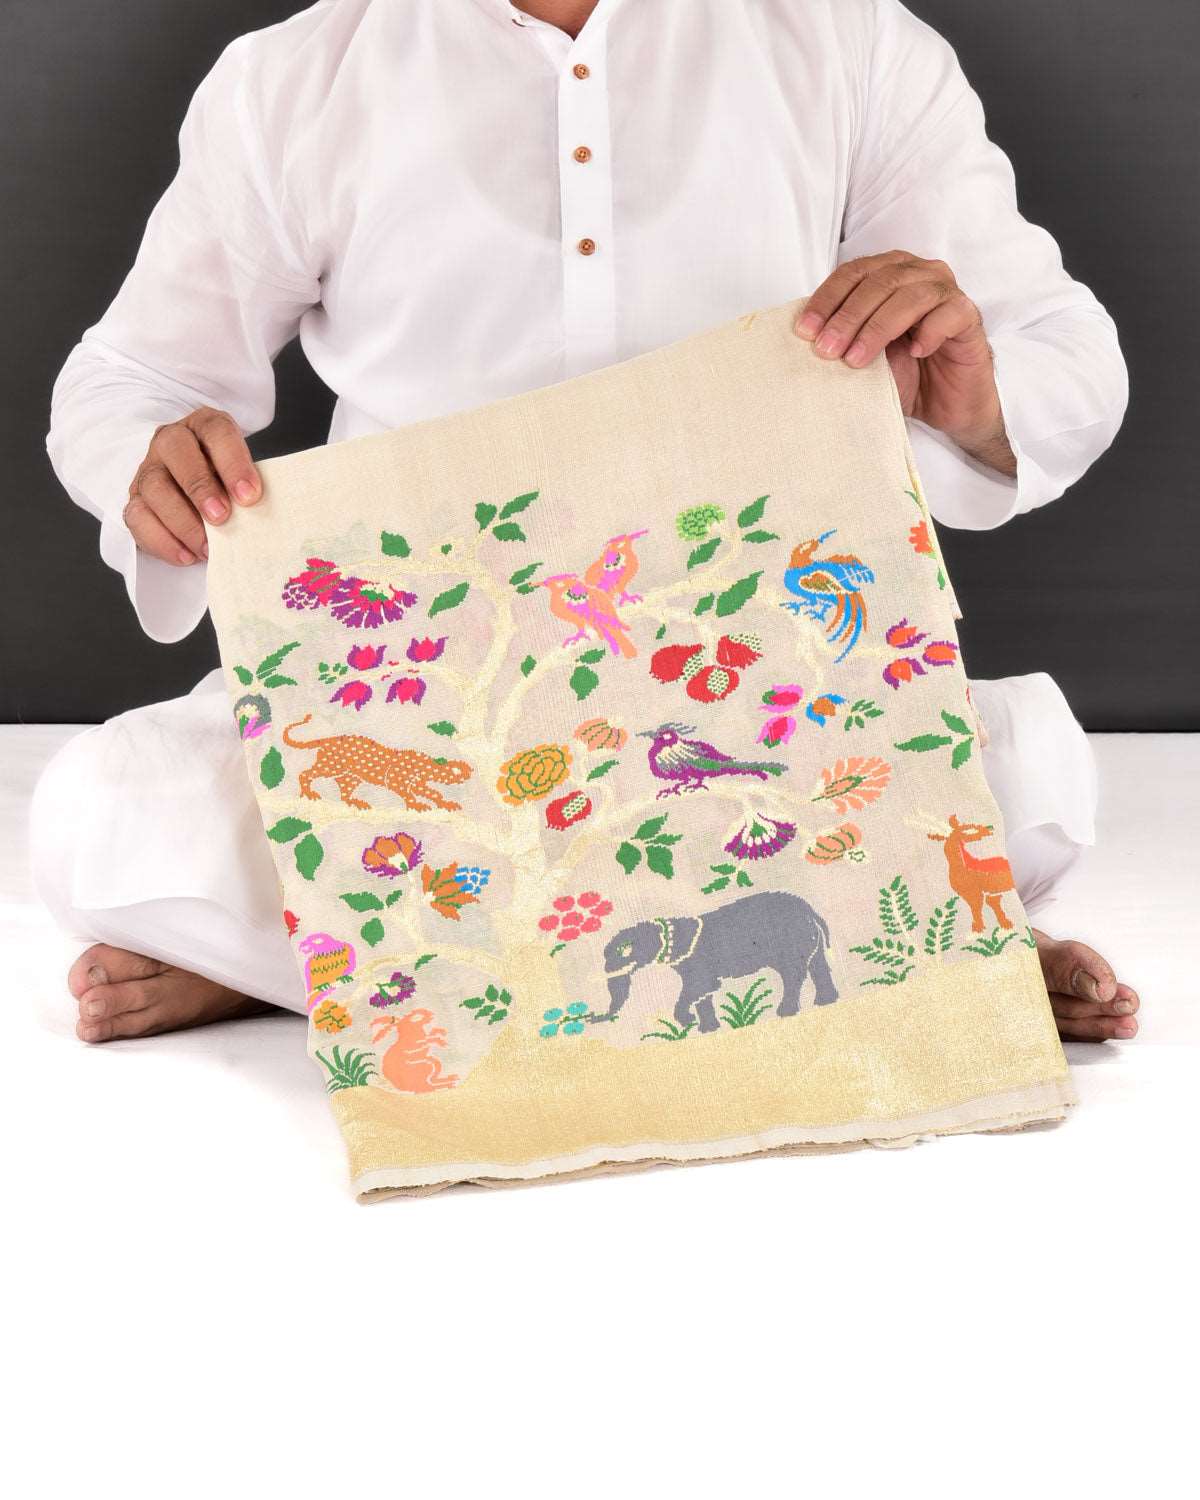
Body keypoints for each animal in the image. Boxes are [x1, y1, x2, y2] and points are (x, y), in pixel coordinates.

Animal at [282, 716, 473, 811]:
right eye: (457, 770)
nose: (469, 771)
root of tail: (329, 739)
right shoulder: (397, 779)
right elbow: (408, 793)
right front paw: (416, 804)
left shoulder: (418, 782)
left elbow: (433, 793)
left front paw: (445, 804)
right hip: (331, 765)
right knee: (305, 774)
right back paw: (309, 792)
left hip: (351, 775)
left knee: (343, 787)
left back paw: (354, 802)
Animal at [597, 889, 837, 1035]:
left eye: (624, 951)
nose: (596, 1018)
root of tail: (809, 909)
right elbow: (704, 992)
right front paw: (707, 1029)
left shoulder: (697, 960)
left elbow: (700, 987)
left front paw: (688, 1020)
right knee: (818, 965)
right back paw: (826, 1002)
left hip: (791, 939)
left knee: (792, 973)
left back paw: (786, 1013)